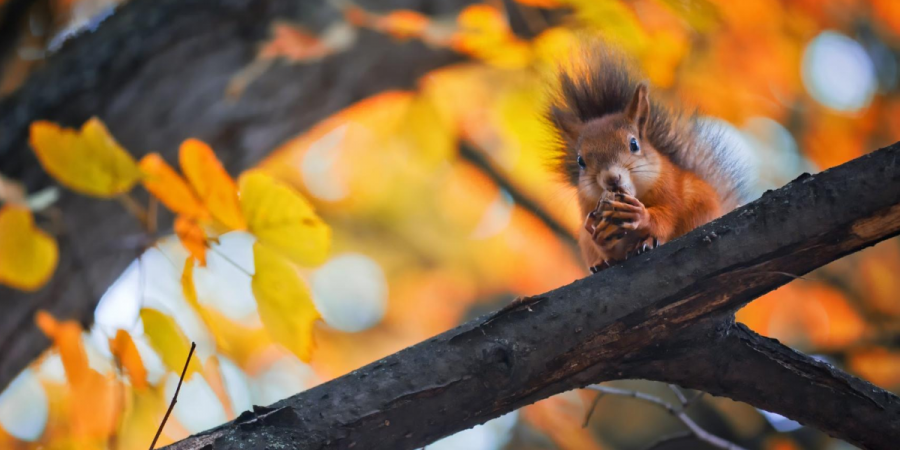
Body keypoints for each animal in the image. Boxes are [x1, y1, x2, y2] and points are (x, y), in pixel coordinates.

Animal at [548, 51, 752, 272]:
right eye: (580, 161)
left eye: (634, 144)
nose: (612, 178)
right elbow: (609, 247)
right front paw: (598, 235)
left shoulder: (670, 191)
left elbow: (666, 217)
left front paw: (640, 216)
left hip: (700, 204)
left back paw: (646, 243)